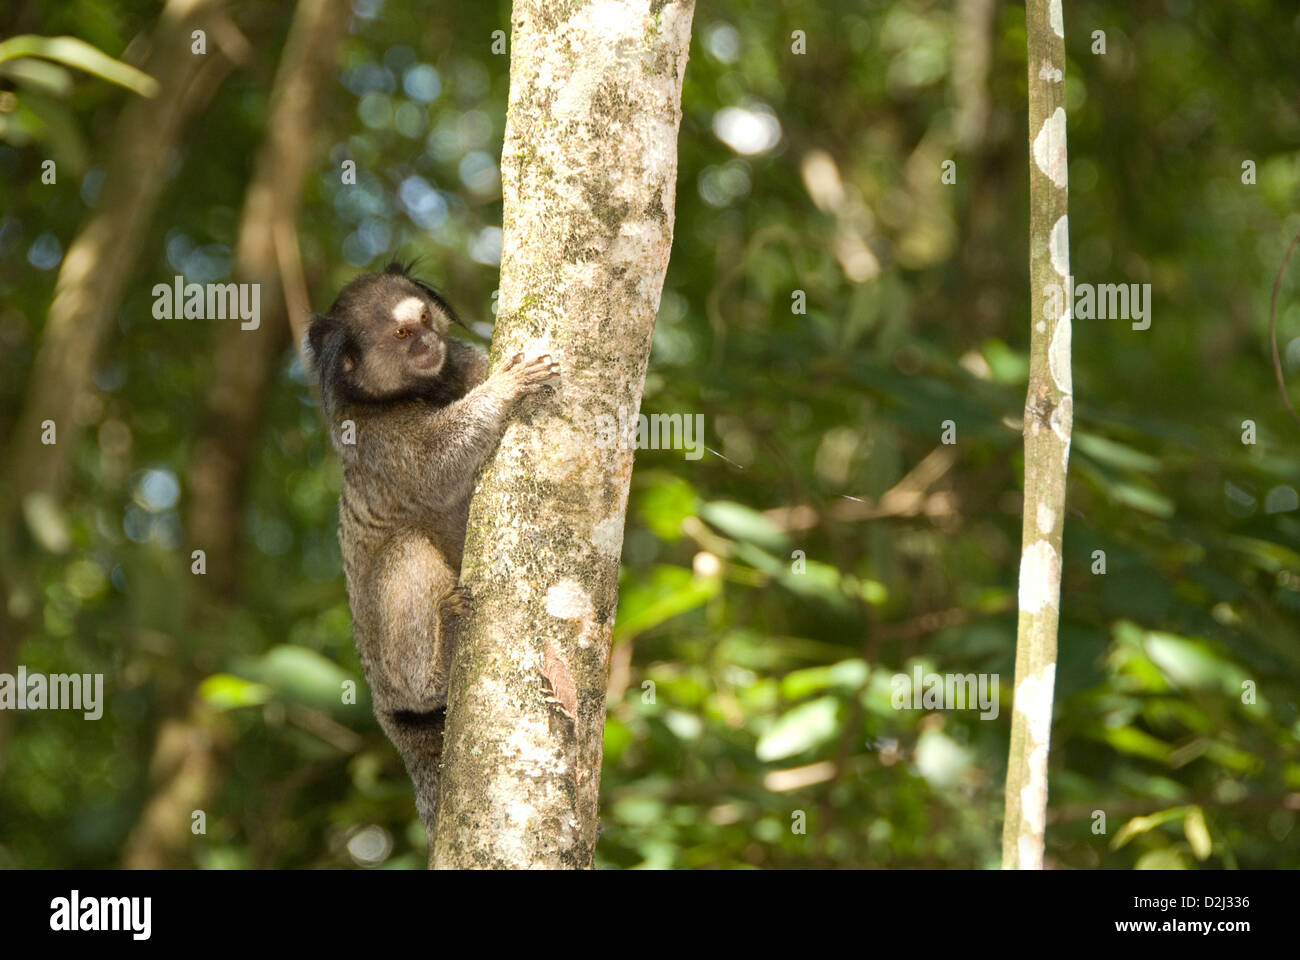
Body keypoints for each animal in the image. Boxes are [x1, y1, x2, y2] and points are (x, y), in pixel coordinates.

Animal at [312, 261, 561, 837]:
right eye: (403, 334)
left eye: (425, 319)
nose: (427, 342)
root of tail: (389, 716)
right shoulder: (373, 435)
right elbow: (435, 464)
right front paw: (507, 390)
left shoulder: (464, 362)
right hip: (393, 678)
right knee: (404, 551)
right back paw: (441, 659)